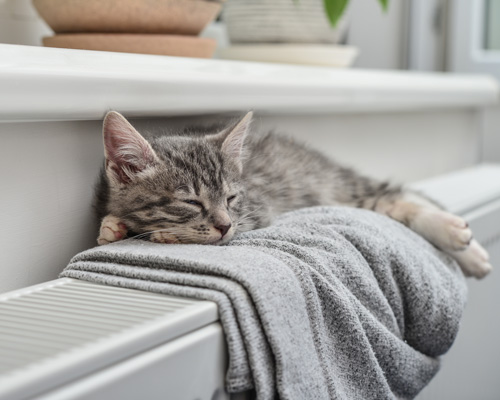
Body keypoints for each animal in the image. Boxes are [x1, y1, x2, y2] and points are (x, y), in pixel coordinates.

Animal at [94, 109, 492, 278]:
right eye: (190, 202)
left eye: (231, 199)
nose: (224, 225)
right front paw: (114, 226)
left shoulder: (257, 208)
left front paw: (163, 234)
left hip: (335, 186)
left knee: (393, 197)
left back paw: (460, 239)